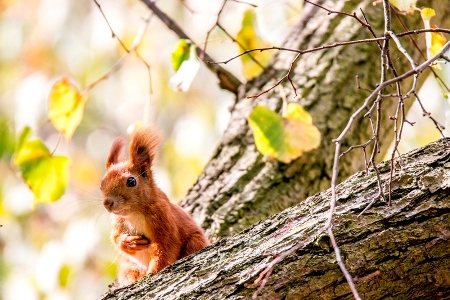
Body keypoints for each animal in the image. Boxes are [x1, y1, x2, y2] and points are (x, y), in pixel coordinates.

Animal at [101, 126, 210, 286]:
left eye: (131, 181)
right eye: (101, 184)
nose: (107, 203)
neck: (134, 213)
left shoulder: (162, 217)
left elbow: (164, 248)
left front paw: (152, 273)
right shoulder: (118, 221)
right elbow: (115, 238)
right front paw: (128, 242)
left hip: (195, 241)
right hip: (128, 267)